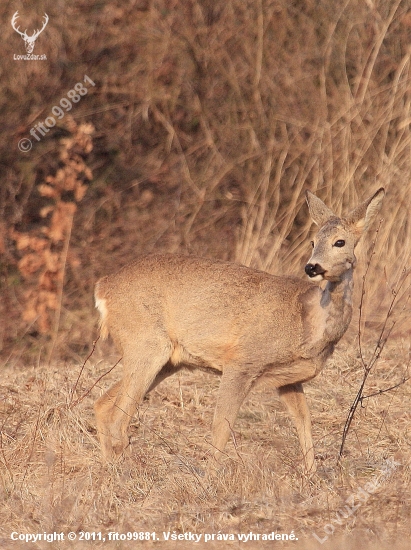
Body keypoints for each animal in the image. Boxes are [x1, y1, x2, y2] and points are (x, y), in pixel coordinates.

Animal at [95, 190, 384, 474]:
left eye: (340, 242)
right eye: (313, 242)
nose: (312, 267)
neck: (308, 322)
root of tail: (104, 287)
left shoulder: (288, 379)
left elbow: (304, 422)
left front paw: (312, 476)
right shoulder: (242, 361)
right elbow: (222, 424)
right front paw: (210, 479)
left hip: (167, 360)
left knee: (103, 404)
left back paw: (110, 469)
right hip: (146, 344)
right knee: (118, 416)